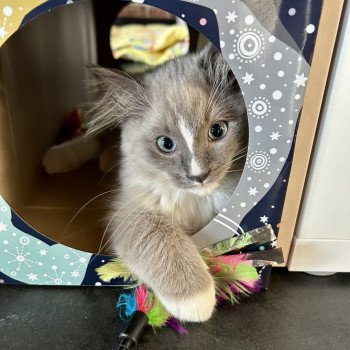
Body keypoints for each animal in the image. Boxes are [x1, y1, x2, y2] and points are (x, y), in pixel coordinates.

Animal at [42, 45, 247, 322]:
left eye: (218, 131)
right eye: (165, 144)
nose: (199, 176)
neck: (194, 200)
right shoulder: (131, 212)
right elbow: (162, 240)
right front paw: (198, 299)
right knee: (94, 139)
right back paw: (56, 158)